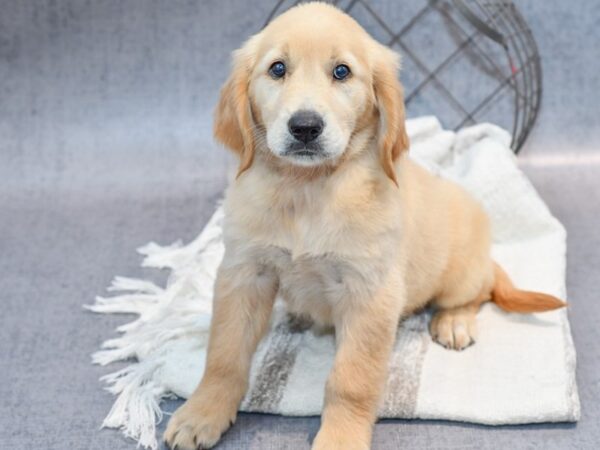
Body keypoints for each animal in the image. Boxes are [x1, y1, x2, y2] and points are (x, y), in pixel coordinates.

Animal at [163, 4, 564, 450]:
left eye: (342, 72)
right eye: (277, 68)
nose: (305, 127)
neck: (307, 189)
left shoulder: (370, 292)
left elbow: (351, 379)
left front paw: (340, 438)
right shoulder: (244, 273)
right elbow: (224, 354)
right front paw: (203, 412)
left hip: (461, 272)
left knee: (476, 293)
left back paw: (454, 321)